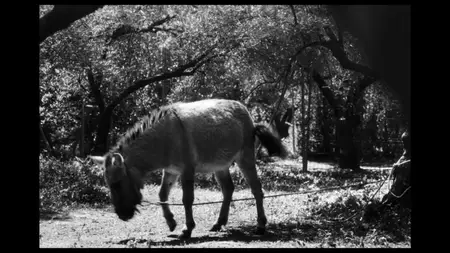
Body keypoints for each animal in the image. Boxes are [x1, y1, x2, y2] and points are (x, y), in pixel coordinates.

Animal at [89, 99, 286, 239]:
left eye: (117, 184)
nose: (122, 215)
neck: (164, 138)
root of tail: (247, 114)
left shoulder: (186, 170)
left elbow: (187, 199)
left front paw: (187, 228)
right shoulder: (170, 171)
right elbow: (162, 194)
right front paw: (171, 222)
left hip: (245, 159)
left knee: (256, 189)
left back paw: (260, 226)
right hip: (220, 166)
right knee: (228, 189)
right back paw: (219, 223)